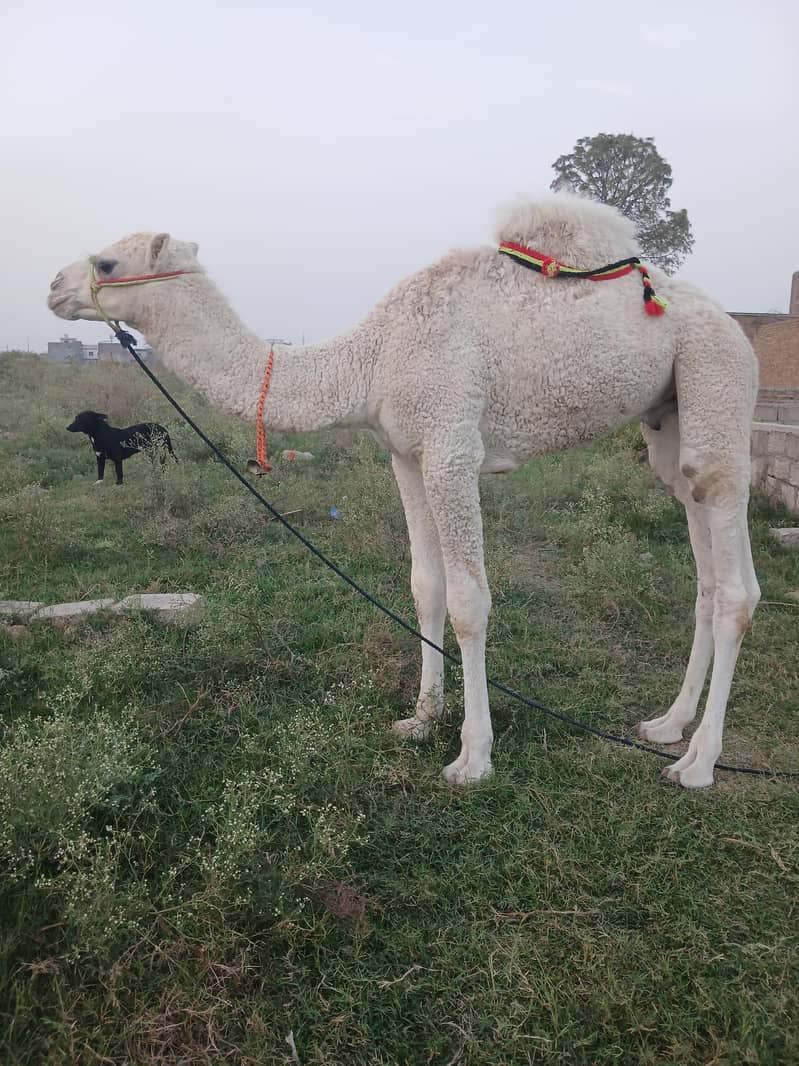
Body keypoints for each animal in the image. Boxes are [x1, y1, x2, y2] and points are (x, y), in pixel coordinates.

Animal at [47, 195, 760, 789]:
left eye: (107, 260)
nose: (53, 286)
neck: (374, 358)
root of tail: (733, 325)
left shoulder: (451, 447)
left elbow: (470, 601)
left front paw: (473, 755)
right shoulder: (407, 455)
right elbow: (426, 586)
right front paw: (421, 716)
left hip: (717, 378)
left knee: (735, 581)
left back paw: (699, 762)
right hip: (669, 419)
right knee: (700, 560)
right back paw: (667, 725)